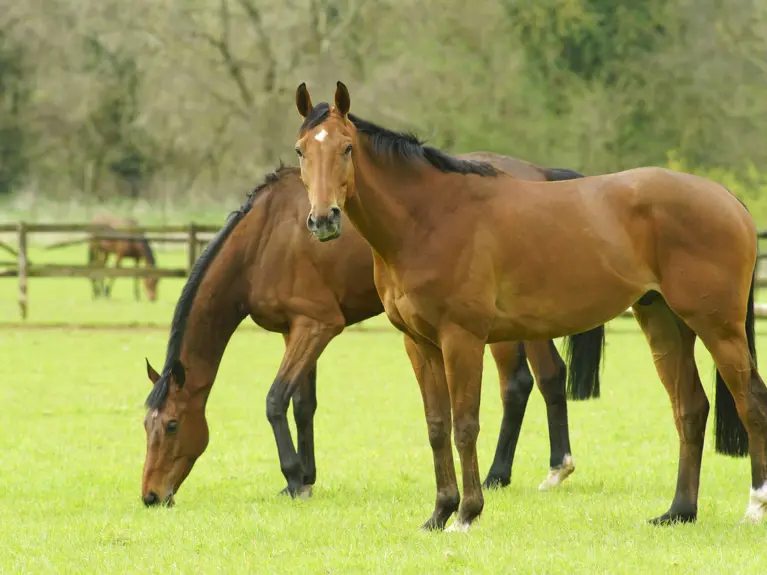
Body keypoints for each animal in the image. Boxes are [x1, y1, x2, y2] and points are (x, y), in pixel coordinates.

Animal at [138, 158, 608, 508]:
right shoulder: (296, 331)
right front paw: (305, 476)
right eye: (146, 426)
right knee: (542, 378)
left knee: (527, 382)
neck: (265, 239)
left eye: (174, 425)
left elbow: (275, 400)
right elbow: (302, 405)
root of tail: (541, 175)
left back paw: (521, 471)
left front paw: (292, 478)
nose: (151, 496)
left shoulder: (317, 326)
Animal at [292, 80, 760, 532]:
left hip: (719, 327)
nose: (323, 220)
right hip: (664, 322)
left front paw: (467, 514)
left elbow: (465, 425)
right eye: (301, 150)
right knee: (691, 409)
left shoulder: (462, 339)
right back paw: (679, 511)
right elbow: (437, 427)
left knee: (750, 400)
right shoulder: (419, 344)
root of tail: (728, 199)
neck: (429, 218)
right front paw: (439, 513)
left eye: (346, 148)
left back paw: (755, 507)